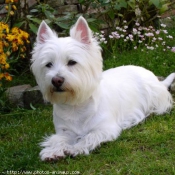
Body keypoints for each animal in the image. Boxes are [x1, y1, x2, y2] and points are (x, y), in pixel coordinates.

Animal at [31, 15, 175, 161]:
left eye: (72, 62)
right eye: (48, 64)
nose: (56, 80)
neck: (75, 106)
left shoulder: (106, 128)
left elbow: (89, 136)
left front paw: (75, 148)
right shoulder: (65, 130)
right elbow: (58, 139)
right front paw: (52, 151)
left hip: (155, 97)